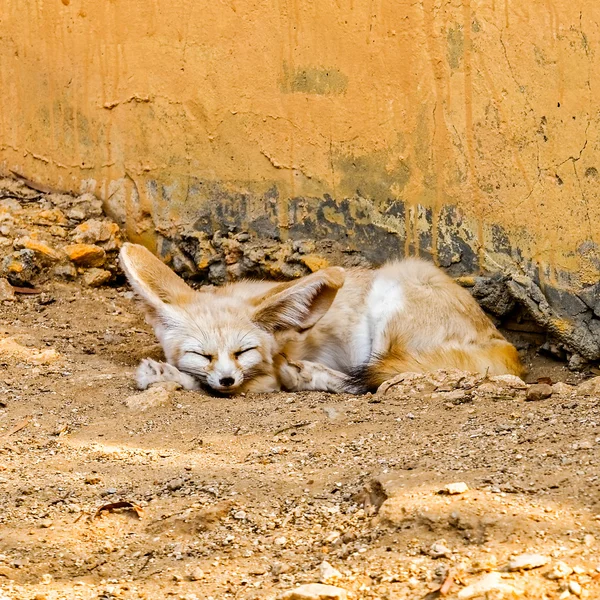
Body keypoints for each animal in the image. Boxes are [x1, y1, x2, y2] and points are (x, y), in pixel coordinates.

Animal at [119, 241, 524, 396]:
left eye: (244, 351)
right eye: (200, 354)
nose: (228, 378)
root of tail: (503, 343)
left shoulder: (262, 377)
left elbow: (205, 386)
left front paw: (165, 375)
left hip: (390, 303)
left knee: (375, 383)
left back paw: (309, 376)